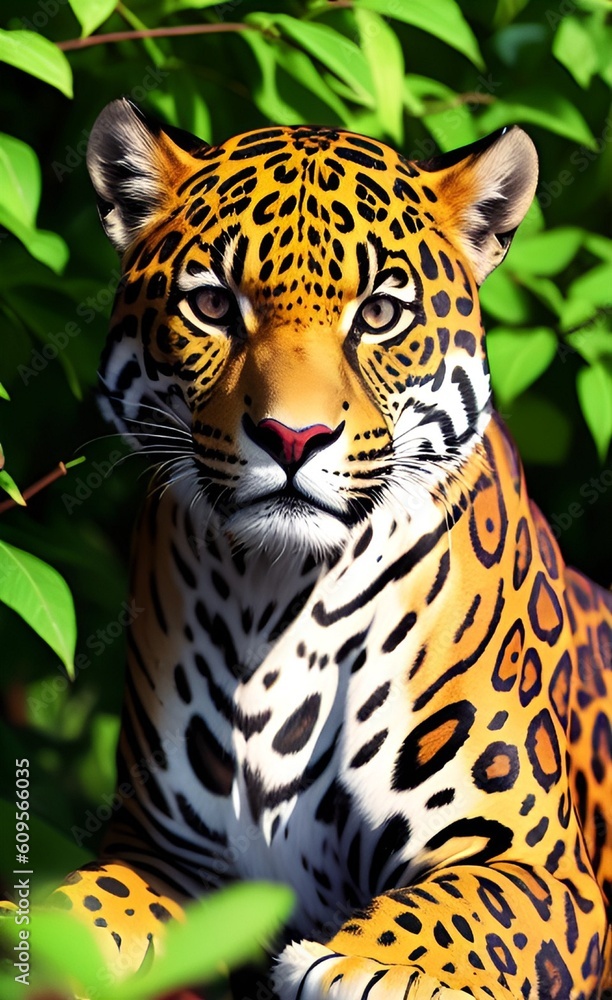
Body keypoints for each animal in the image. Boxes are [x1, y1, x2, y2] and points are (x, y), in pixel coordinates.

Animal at [51, 98, 612, 1000]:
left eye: (379, 315)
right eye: (213, 306)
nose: (293, 436)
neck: (277, 597)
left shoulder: (546, 871)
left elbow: (457, 909)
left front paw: (362, 962)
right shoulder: (163, 853)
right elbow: (89, 903)